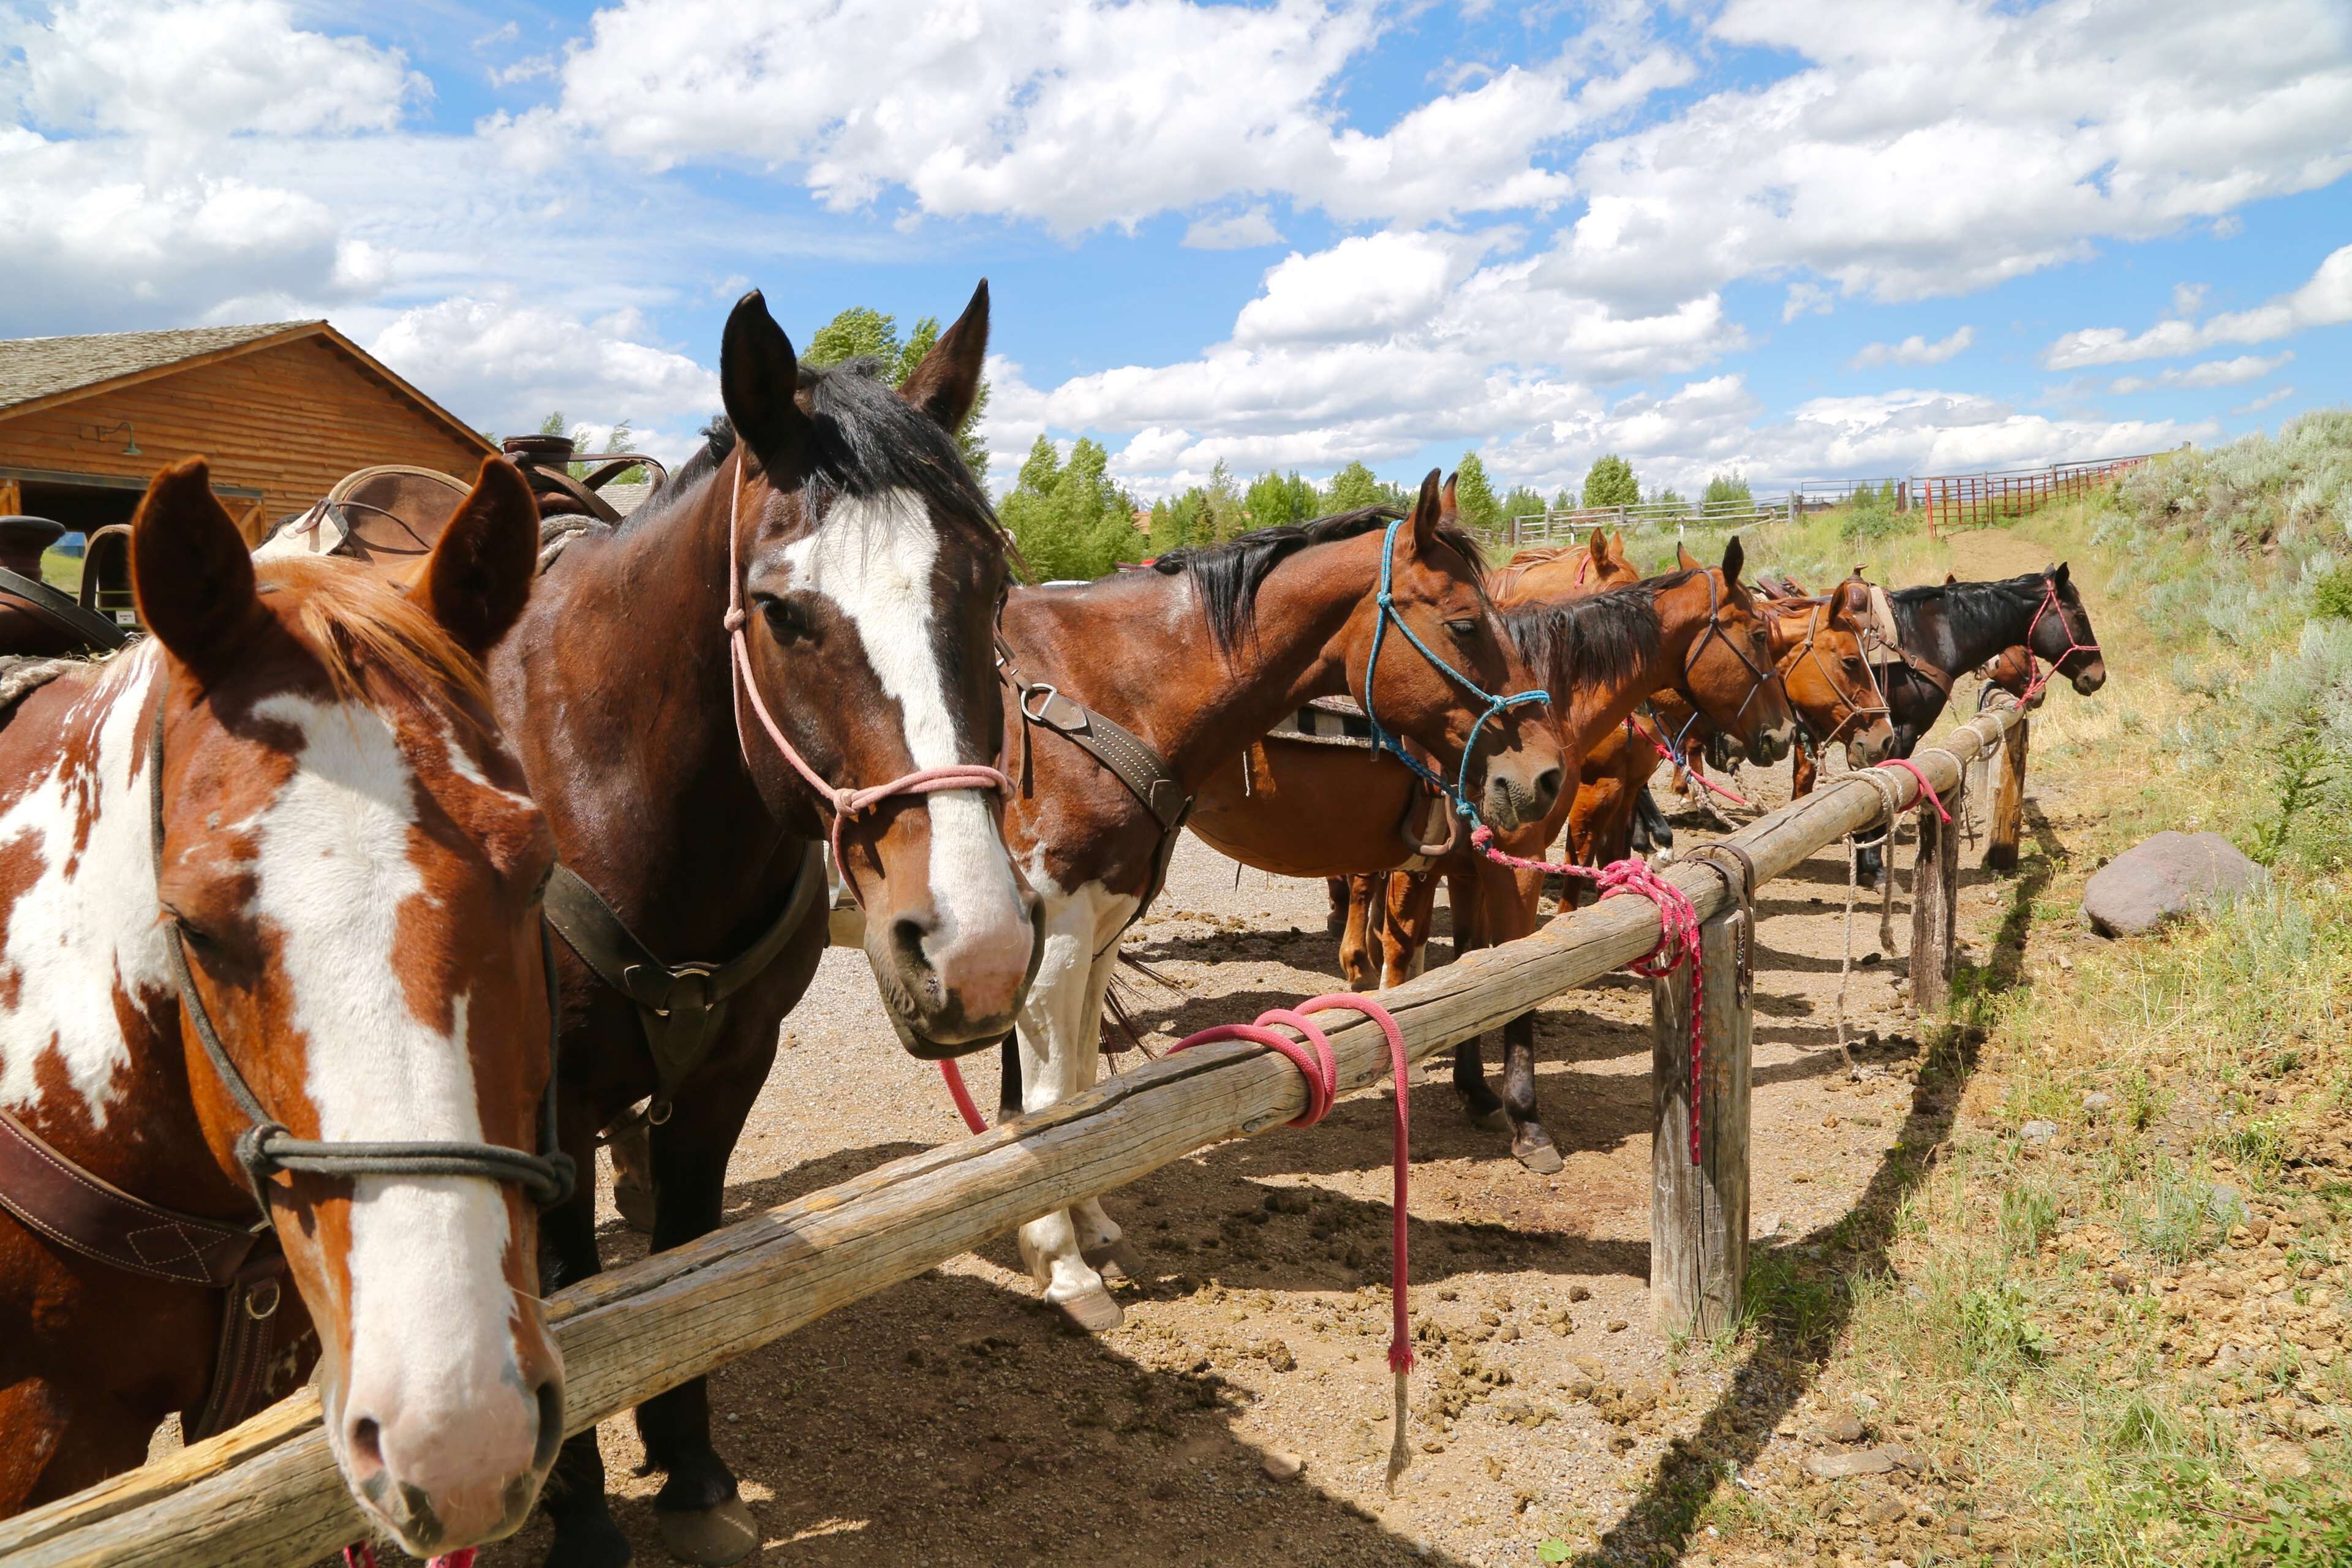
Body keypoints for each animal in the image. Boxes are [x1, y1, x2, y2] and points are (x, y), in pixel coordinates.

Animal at [491, 286, 1040, 1568]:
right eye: (783, 612)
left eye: (992, 588)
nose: (977, 948)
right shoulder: (544, 1107)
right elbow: (573, 1291)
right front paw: (583, 1513)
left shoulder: (730, 1067)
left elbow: (689, 1258)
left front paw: (689, 1469)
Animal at [987, 472, 1564, 1329]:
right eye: (1465, 622)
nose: (1548, 776)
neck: (1087, 695)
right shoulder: (1054, 936)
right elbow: (1052, 1103)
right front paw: (1064, 1268)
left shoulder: (1096, 928)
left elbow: (1085, 1089)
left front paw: (1091, 1228)